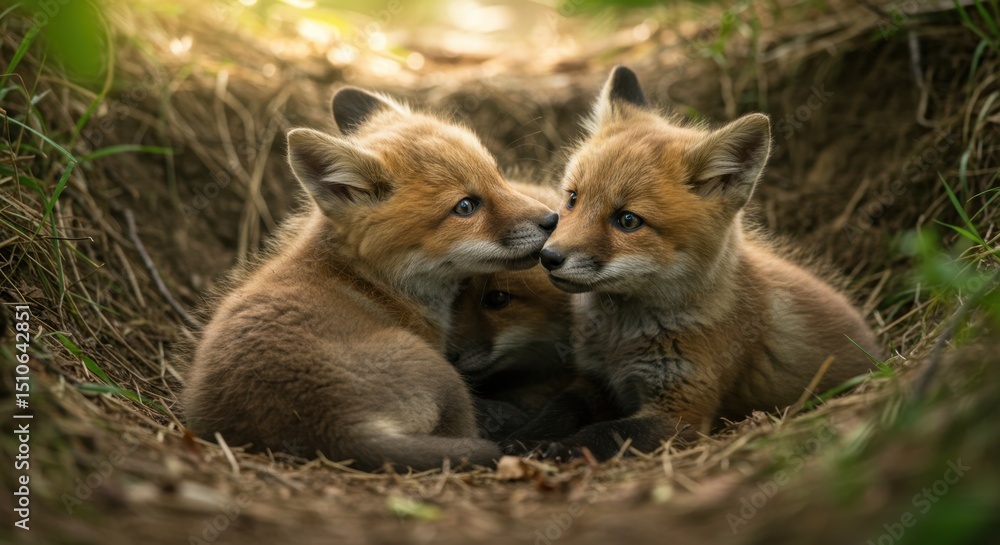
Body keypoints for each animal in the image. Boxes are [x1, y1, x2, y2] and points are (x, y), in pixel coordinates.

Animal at [183, 86, 558, 471]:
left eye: (497, 175)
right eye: (466, 207)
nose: (552, 219)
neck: (370, 279)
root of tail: (333, 426)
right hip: (445, 378)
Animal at [505, 66, 880, 461]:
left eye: (628, 221)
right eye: (573, 198)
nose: (548, 257)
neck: (619, 342)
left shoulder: (682, 413)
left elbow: (605, 433)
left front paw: (557, 448)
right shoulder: (595, 379)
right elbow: (560, 407)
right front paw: (523, 437)